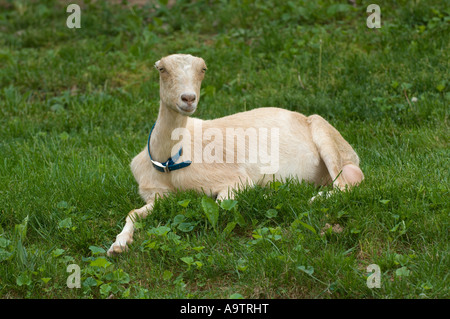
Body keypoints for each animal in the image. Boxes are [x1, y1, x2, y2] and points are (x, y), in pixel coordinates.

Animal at [107, 53, 364, 256]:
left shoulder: (233, 178)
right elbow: (133, 213)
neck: (169, 162)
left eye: (203, 69)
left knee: (344, 186)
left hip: (326, 136)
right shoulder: (156, 194)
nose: (188, 98)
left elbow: (220, 204)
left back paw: (305, 197)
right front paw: (118, 245)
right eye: (162, 68)